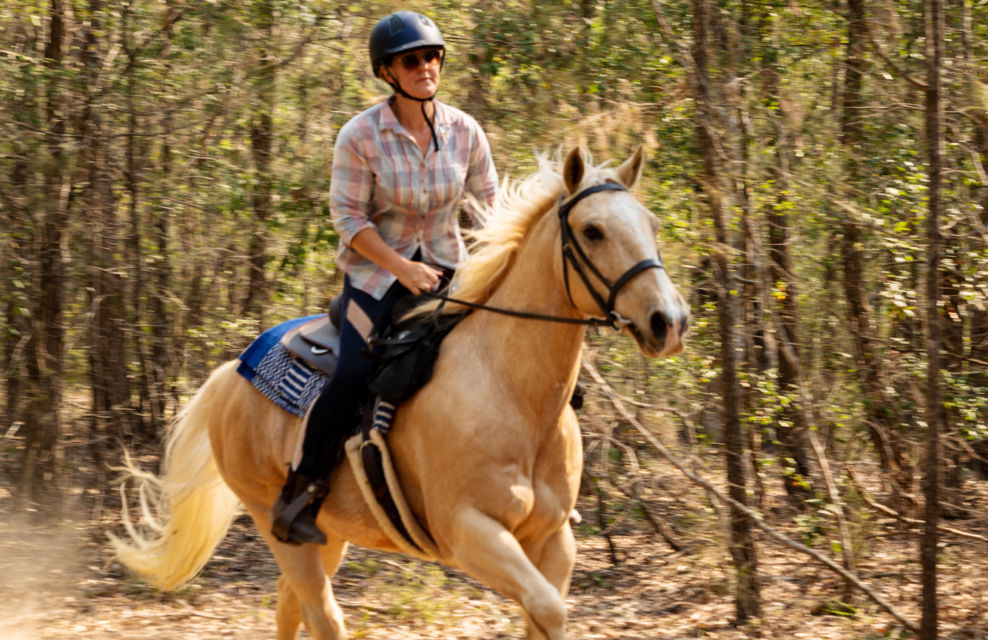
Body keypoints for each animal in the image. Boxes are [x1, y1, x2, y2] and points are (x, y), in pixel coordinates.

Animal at [110, 146, 690, 640]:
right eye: (592, 231)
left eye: (653, 225)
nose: (669, 322)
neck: (513, 396)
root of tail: (233, 372)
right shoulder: (470, 534)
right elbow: (547, 608)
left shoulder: (553, 540)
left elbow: (543, 615)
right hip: (272, 518)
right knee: (322, 615)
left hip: (328, 532)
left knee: (290, 603)